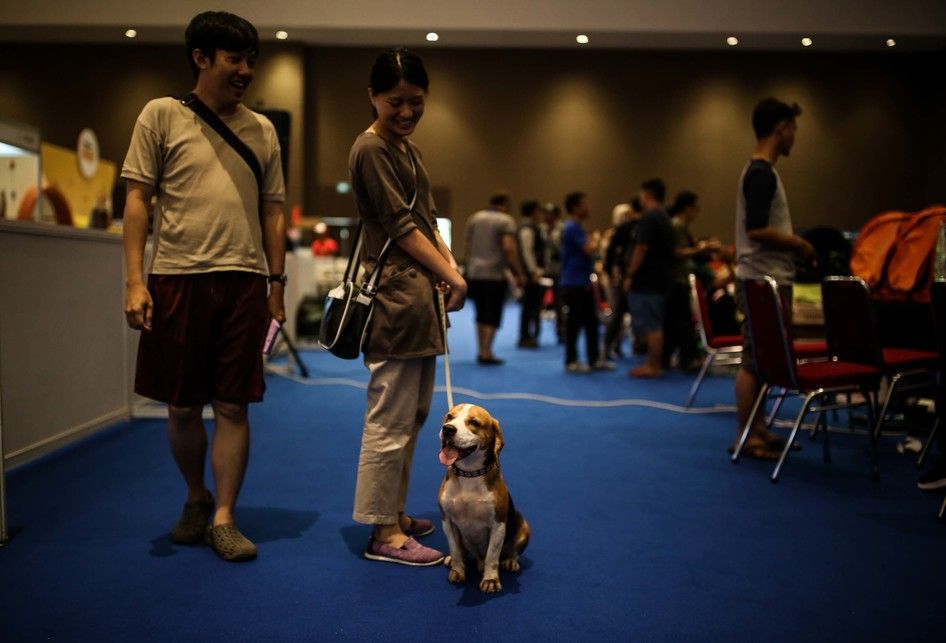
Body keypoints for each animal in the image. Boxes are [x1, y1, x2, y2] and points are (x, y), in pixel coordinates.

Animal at [436, 402, 528, 592]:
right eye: (449, 417)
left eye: (474, 422)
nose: (447, 429)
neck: (469, 475)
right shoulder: (447, 521)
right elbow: (455, 550)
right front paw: (458, 570)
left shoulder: (498, 525)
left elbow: (492, 556)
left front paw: (490, 579)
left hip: (524, 526)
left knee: (510, 552)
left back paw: (510, 561)